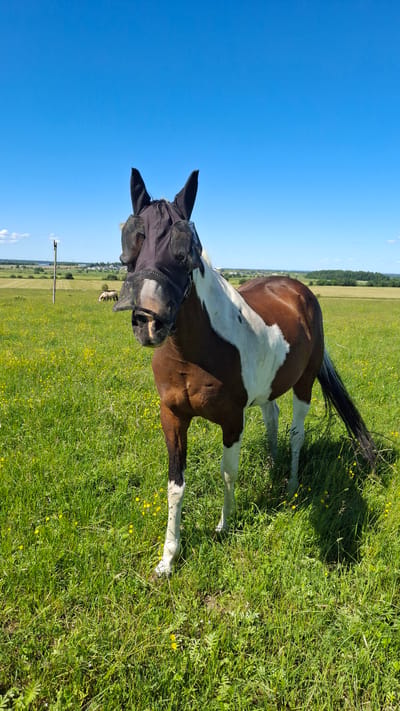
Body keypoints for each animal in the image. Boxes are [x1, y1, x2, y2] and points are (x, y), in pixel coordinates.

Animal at [114, 169, 376, 577]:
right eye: (130, 244)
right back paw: (272, 466)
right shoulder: (172, 417)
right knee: (272, 418)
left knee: (296, 433)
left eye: (187, 250)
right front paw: (168, 558)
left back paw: (290, 484)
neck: (193, 352)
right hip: (269, 388)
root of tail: (298, 289)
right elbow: (175, 484)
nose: (149, 321)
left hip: (303, 384)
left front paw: (225, 524)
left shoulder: (232, 420)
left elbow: (227, 471)